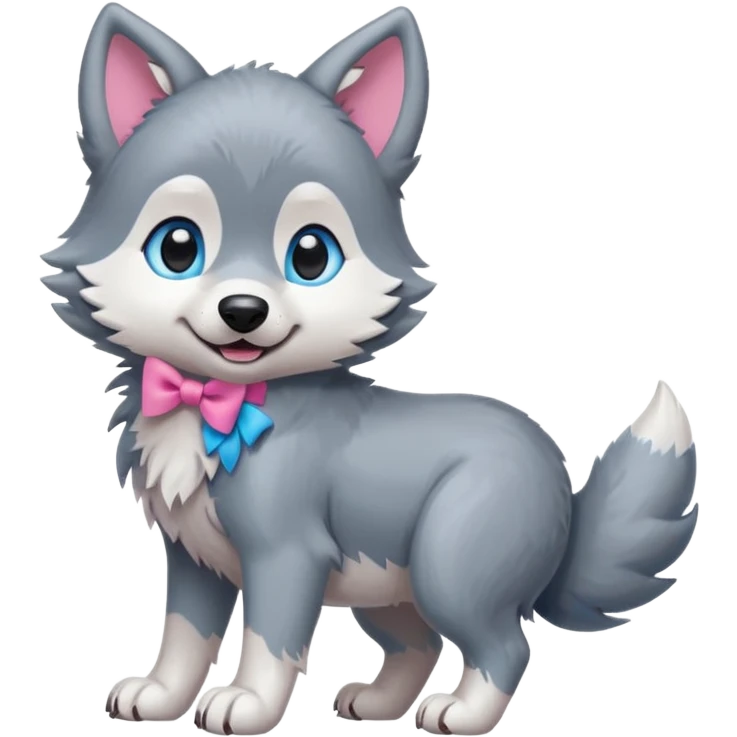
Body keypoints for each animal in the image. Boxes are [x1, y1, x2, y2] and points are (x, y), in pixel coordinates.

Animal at [43, 3, 699, 735]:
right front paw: (157, 698)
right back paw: (378, 703)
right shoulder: (192, 556)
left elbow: (270, 641)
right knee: (420, 643)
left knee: (504, 644)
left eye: (310, 255)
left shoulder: (287, 551)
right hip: (387, 587)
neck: (224, 400)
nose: (243, 310)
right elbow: (184, 637)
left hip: (450, 562)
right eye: (177, 247)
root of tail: (563, 485)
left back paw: (461, 713)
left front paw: (247, 703)